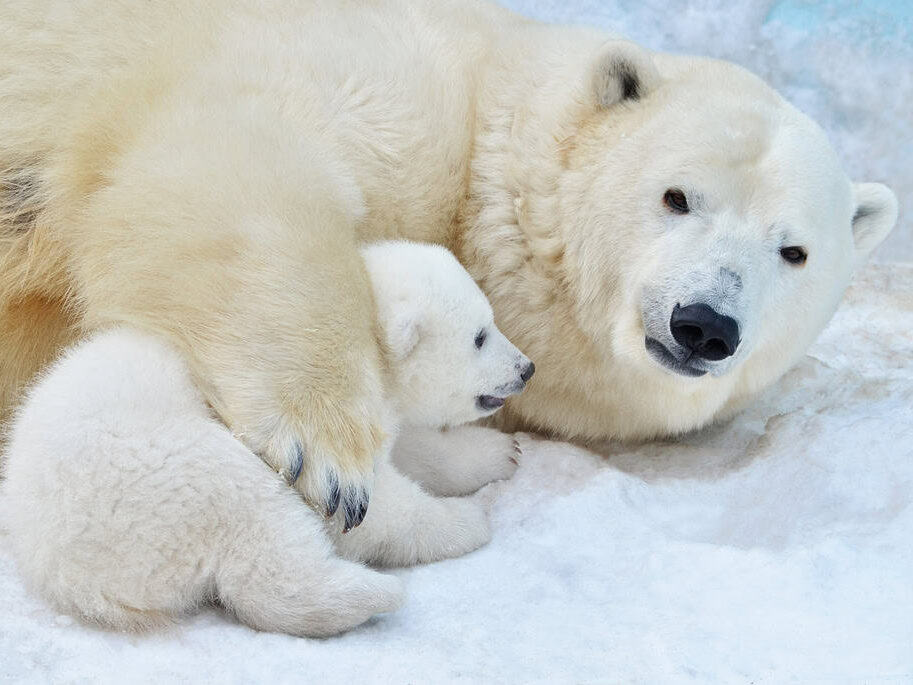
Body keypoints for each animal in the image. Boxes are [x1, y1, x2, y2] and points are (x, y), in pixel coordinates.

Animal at [0, 0, 898, 519]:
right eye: (677, 196)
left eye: (793, 250)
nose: (704, 323)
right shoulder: (392, 81)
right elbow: (239, 151)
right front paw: (331, 452)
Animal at [1, 241, 533, 637]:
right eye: (480, 336)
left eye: (489, 321)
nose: (526, 368)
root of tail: (67, 577)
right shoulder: (321, 424)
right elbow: (370, 507)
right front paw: (468, 520)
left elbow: (412, 449)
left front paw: (500, 452)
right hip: (151, 474)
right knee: (256, 526)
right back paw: (371, 593)